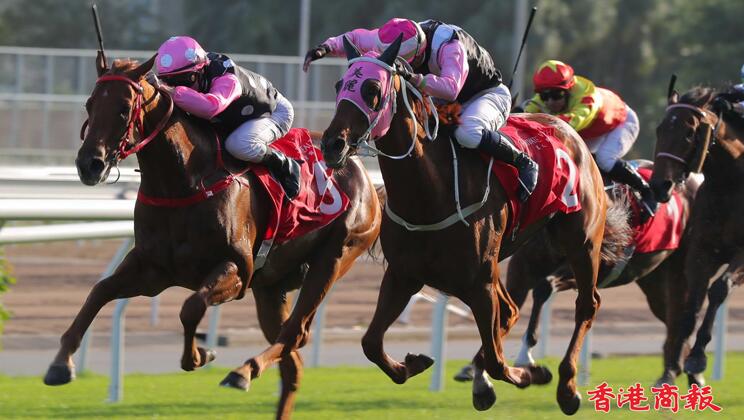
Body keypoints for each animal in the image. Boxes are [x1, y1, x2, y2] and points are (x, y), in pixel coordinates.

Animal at [43, 54, 380, 418]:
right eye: (90, 103)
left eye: (123, 108)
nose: (89, 164)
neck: (184, 182)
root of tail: (363, 174)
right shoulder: (152, 271)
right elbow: (98, 292)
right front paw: (60, 364)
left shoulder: (237, 270)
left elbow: (191, 307)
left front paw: (200, 355)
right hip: (272, 287)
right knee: (293, 364)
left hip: (333, 258)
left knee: (296, 333)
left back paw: (241, 372)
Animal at [320, 37, 620, 414]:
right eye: (338, 85)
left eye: (372, 89)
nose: (332, 144)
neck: (430, 193)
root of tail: (570, 132)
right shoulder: (404, 275)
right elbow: (370, 342)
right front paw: (416, 363)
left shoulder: (479, 282)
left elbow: (497, 359)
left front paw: (529, 373)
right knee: (511, 310)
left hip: (581, 240)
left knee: (586, 303)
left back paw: (566, 386)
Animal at [652, 86, 744, 388]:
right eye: (659, 129)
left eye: (689, 133)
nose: (659, 186)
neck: (730, 185)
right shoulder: (701, 252)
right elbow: (692, 303)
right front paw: (675, 368)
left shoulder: (742, 254)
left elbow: (719, 289)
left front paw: (697, 357)